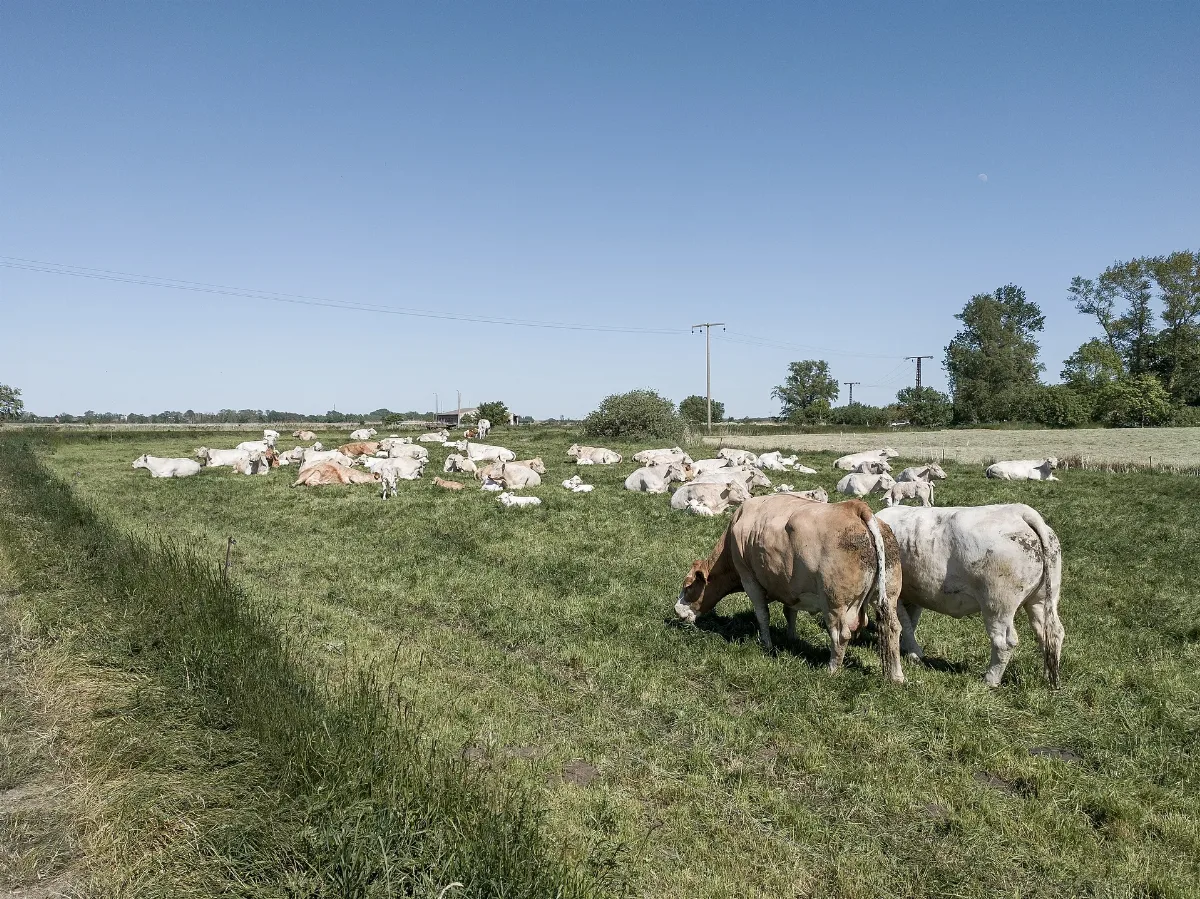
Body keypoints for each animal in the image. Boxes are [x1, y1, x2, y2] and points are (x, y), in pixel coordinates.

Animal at [673, 494, 904, 682]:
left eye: (688, 586)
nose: (676, 611)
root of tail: (854, 507)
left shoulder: (749, 579)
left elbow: (762, 615)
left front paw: (767, 644)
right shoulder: (789, 585)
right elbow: (789, 611)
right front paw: (791, 638)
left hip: (834, 601)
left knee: (841, 635)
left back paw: (831, 670)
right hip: (889, 594)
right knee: (893, 627)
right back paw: (897, 677)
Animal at [875, 504, 1064, 687]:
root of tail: (1020, 511)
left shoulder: (895, 595)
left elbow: (905, 624)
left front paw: (913, 652)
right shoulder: (914, 593)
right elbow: (911, 621)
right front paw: (910, 651)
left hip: (997, 604)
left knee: (1004, 642)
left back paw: (990, 680)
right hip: (1042, 599)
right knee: (1050, 633)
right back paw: (1048, 676)